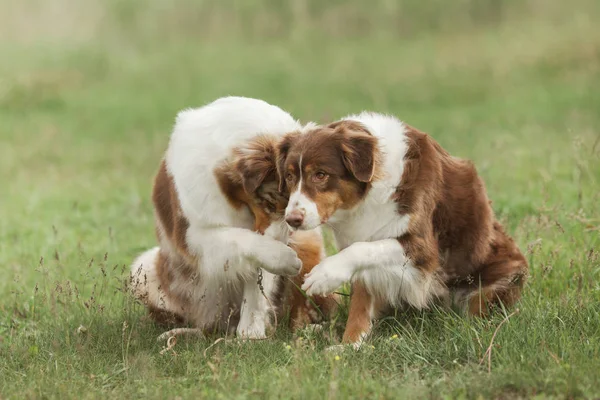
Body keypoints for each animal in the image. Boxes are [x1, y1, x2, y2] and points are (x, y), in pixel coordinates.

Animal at [131, 97, 336, 338]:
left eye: (295, 204)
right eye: (270, 203)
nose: (285, 242)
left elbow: (257, 284)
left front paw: (250, 335)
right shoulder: (192, 235)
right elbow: (242, 241)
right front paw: (283, 257)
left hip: (309, 244)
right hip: (145, 271)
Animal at [278, 111, 528, 346]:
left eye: (320, 175)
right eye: (289, 176)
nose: (291, 219)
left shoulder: (423, 249)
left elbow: (363, 249)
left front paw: (324, 274)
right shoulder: (362, 236)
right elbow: (361, 300)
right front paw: (350, 345)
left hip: (499, 279)